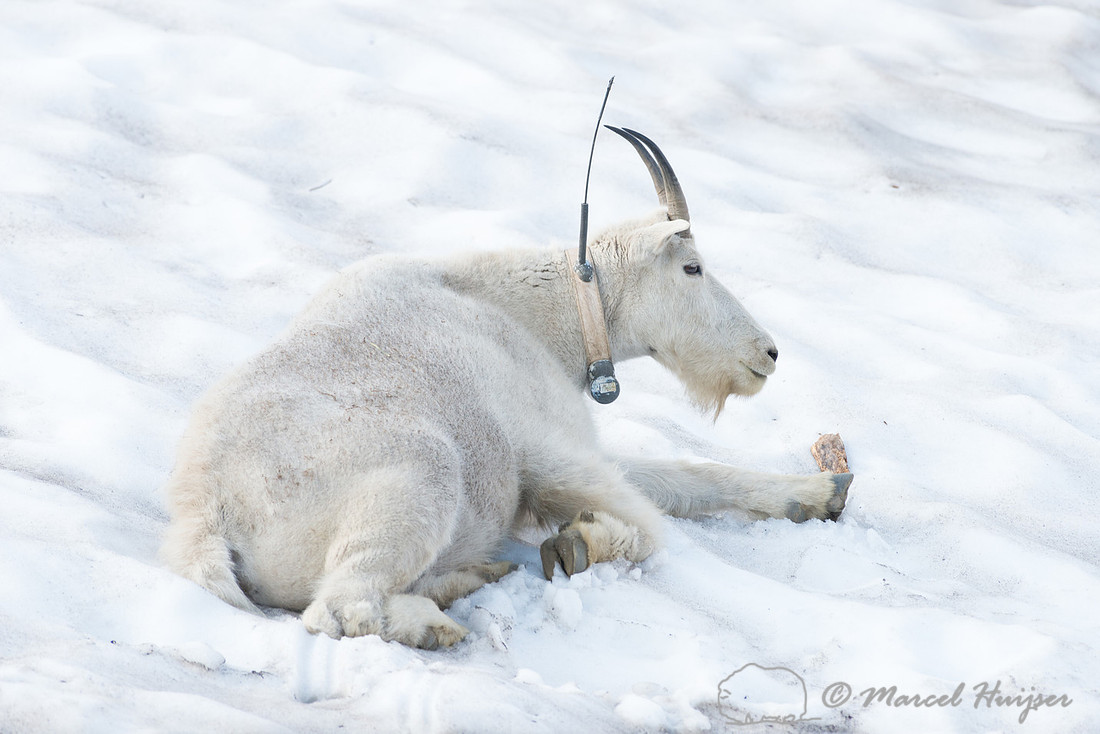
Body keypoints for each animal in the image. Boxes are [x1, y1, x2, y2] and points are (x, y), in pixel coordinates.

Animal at [160, 127, 853, 649]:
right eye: (692, 268)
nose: (767, 353)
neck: (540, 318)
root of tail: (207, 517)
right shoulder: (543, 451)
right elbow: (649, 526)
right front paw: (578, 543)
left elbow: (688, 477)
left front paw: (820, 493)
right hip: (422, 476)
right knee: (340, 610)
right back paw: (437, 622)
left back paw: (472, 575)